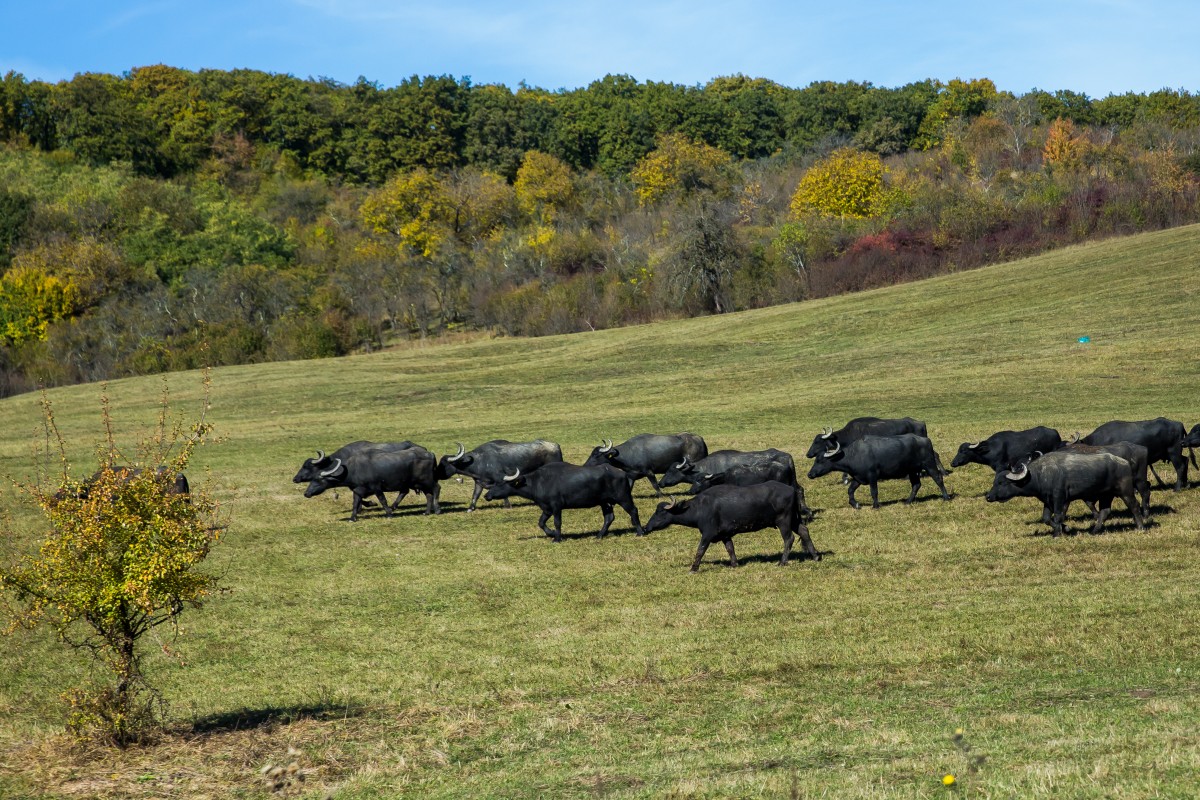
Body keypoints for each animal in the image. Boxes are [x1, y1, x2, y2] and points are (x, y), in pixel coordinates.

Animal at [304, 448, 441, 522]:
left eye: (318, 479)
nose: (306, 493)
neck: (353, 470)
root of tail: (430, 454)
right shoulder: (357, 490)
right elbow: (355, 503)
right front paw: (352, 518)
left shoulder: (376, 488)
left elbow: (382, 500)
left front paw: (389, 514)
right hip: (419, 483)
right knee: (427, 495)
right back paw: (426, 512)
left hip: (427, 481)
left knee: (436, 489)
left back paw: (437, 510)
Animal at [482, 460, 643, 542]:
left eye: (500, 484)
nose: (487, 495)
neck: (537, 482)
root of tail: (622, 473)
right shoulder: (546, 508)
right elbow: (541, 523)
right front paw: (551, 533)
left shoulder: (556, 507)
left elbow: (557, 522)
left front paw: (557, 538)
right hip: (605, 502)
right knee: (609, 517)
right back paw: (599, 535)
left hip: (623, 497)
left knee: (633, 510)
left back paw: (640, 532)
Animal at [643, 484, 820, 573]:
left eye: (660, 512)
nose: (646, 527)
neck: (701, 508)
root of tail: (793, 489)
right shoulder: (725, 535)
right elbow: (730, 548)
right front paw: (734, 564)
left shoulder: (707, 534)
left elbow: (700, 550)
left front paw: (693, 568)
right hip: (795, 519)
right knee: (804, 531)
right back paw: (816, 556)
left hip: (784, 520)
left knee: (789, 538)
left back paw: (782, 562)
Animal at [811, 434, 950, 510]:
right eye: (816, 459)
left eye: (820, 460)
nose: (810, 474)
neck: (855, 455)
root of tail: (926, 440)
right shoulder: (858, 478)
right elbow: (850, 490)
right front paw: (856, 504)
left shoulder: (872, 476)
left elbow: (874, 492)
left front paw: (875, 506)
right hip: (912, 471)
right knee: (916, 485)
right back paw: (907, 501)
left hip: (929, 464)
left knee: (938, 479)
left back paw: (946, 497)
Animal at [988, 450, 1147, 537]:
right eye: (994, 482)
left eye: (1002, 483)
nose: (988, 497)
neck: (1040, 474)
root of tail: (1124, 462)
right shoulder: (1047, 500)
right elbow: (1046, 518)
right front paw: (1066, 528)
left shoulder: (1060, 498)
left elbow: (1058, 516)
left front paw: (1057, 534)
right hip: (1106, 495)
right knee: (1105, 511)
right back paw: (1094, 530)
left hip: (1125, 491)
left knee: (1134, 505)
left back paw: (1140, 527)